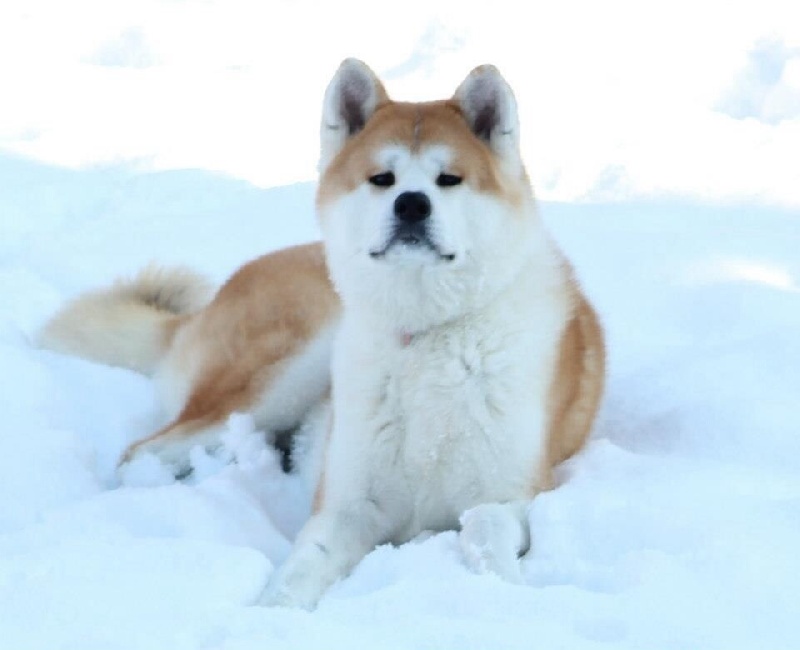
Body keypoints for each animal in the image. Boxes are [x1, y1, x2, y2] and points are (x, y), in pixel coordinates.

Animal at [40, 59, 605, 609]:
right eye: (382, 178)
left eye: (449, 179)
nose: (411, 204)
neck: (428, 336)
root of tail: (207, 305)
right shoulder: (348, 502)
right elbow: (302, 571)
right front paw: (271, 615)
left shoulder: (514, 494)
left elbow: (485, 528)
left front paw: (499, 593)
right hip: (287, 371)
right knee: (144, 452)